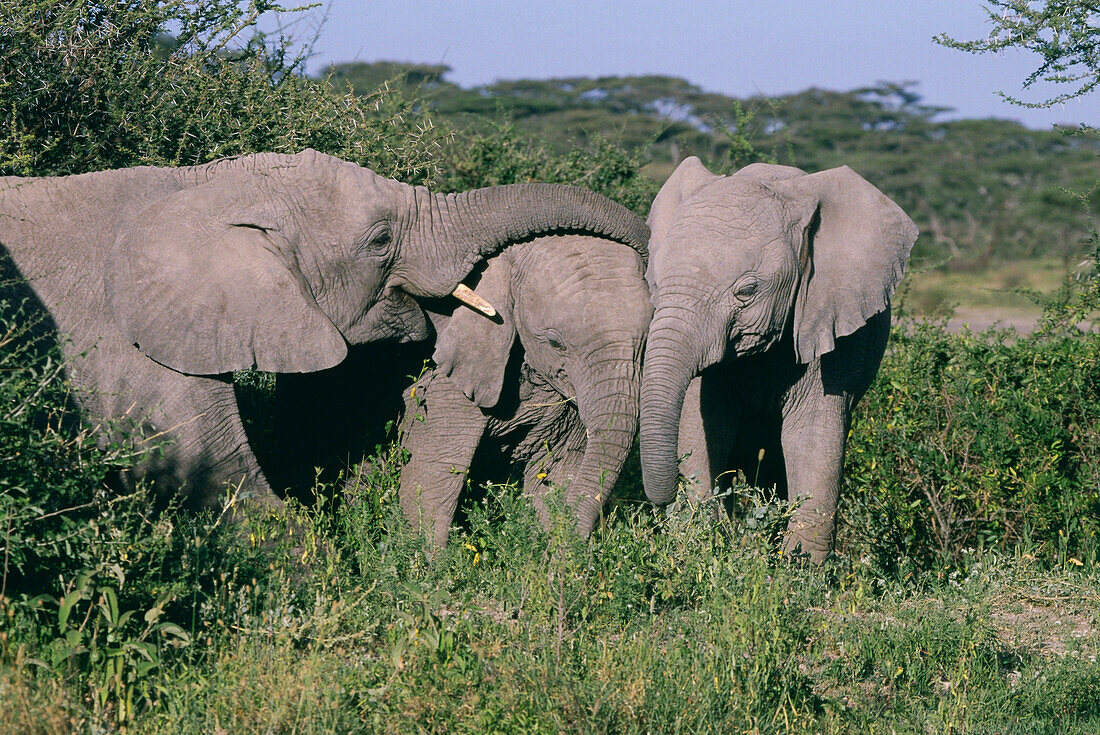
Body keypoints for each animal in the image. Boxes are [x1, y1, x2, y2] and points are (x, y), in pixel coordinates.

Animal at [398, 232, 646, 547]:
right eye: (555, 343)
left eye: (644, 343)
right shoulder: (449, 375)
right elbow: (433, 471)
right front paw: (430, 560)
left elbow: (558, 472)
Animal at [638, 156, 919, 563]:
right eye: (655, 283)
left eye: (747, 291)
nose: (662, 499)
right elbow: (701, 421)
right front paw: (702, 545)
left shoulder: (831, 321)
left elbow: (813, 432)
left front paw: (798, 568)